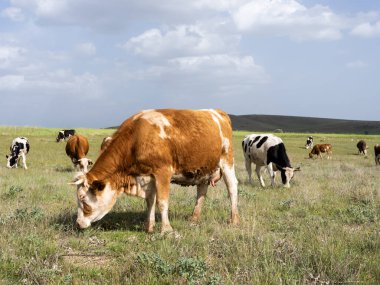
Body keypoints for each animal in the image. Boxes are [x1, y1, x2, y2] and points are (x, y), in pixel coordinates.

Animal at [70, 107, 240, 232]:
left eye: (83, 199)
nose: (78, 224)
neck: (137, 138)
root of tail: (217, 112)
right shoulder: (147, 176)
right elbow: (150, 201)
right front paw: (149, 227)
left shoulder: (163, 172)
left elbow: (162, 201)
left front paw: (166, 230)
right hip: (203, 168)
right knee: (201, 192)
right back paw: (194, 219)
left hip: (227, 160)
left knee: (232, 188)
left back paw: (234, 220)